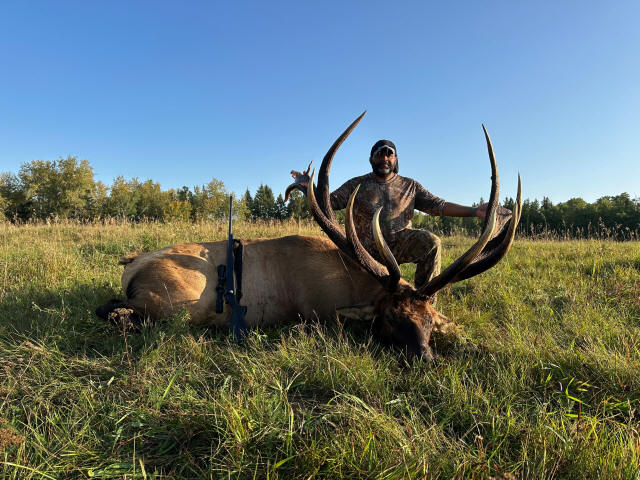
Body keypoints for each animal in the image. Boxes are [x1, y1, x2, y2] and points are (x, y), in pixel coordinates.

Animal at [96, 113, 521, 361]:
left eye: (429, 321)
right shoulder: (316, 311)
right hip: (176, 305)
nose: (425, 359)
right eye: (389, 318)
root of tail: (131, 265)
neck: (350, 282)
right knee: (118, 312)